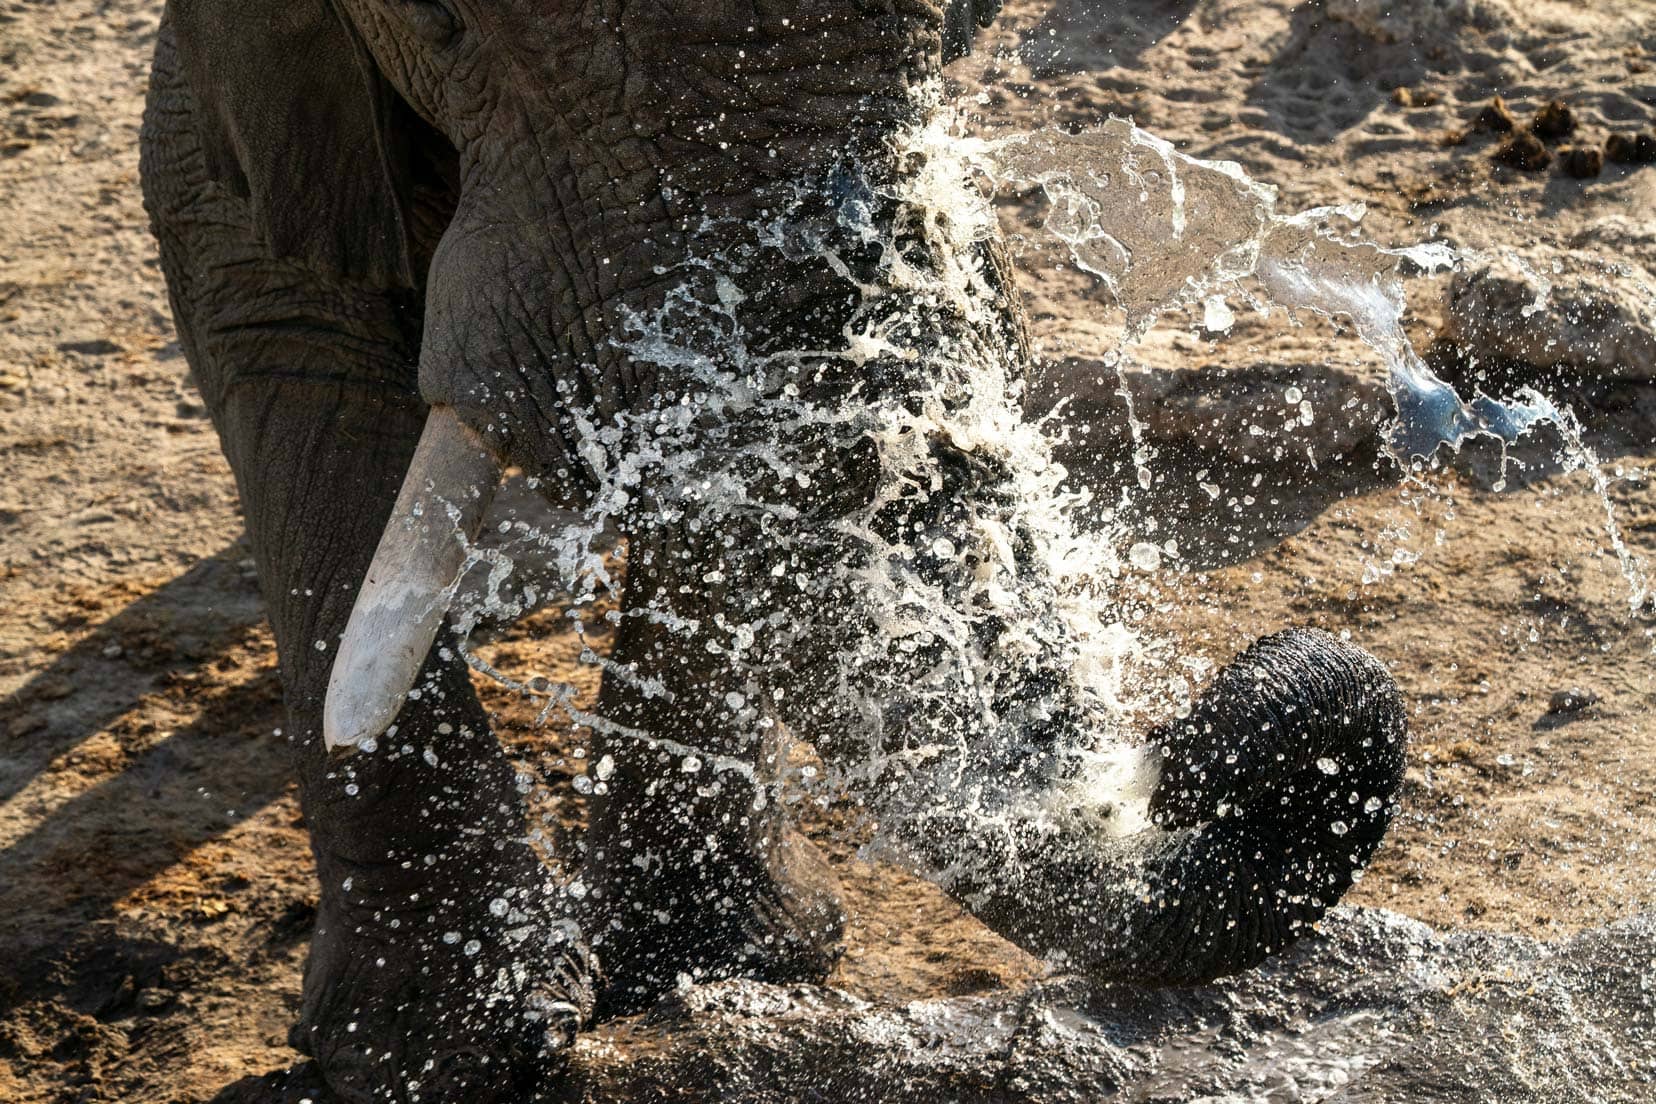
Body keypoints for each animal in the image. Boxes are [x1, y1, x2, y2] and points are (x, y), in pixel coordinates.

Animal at [142, 2, 1404, 1104]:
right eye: (445, 24)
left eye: (956, 20)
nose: (1215, 744)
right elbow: (270, 303)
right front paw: (441, 1059)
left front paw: (716, 970)